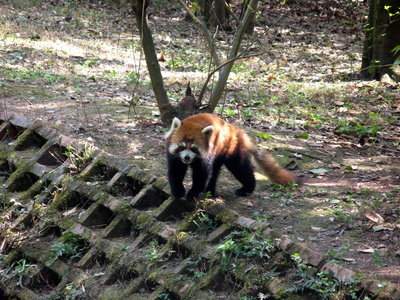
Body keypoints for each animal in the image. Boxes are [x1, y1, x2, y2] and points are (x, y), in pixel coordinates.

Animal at [163, 113, 296, 200]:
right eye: (182, 147)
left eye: (194, 149)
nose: (187, 157)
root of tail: (236, 130)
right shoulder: (175, 156)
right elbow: (176, 171)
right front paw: (178, 191)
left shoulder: (205, 157)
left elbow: (201, 174)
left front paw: (192, 194)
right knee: (215, 171)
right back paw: (210, 191)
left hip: (231, 148)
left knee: (240, 168)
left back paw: (247, 189)